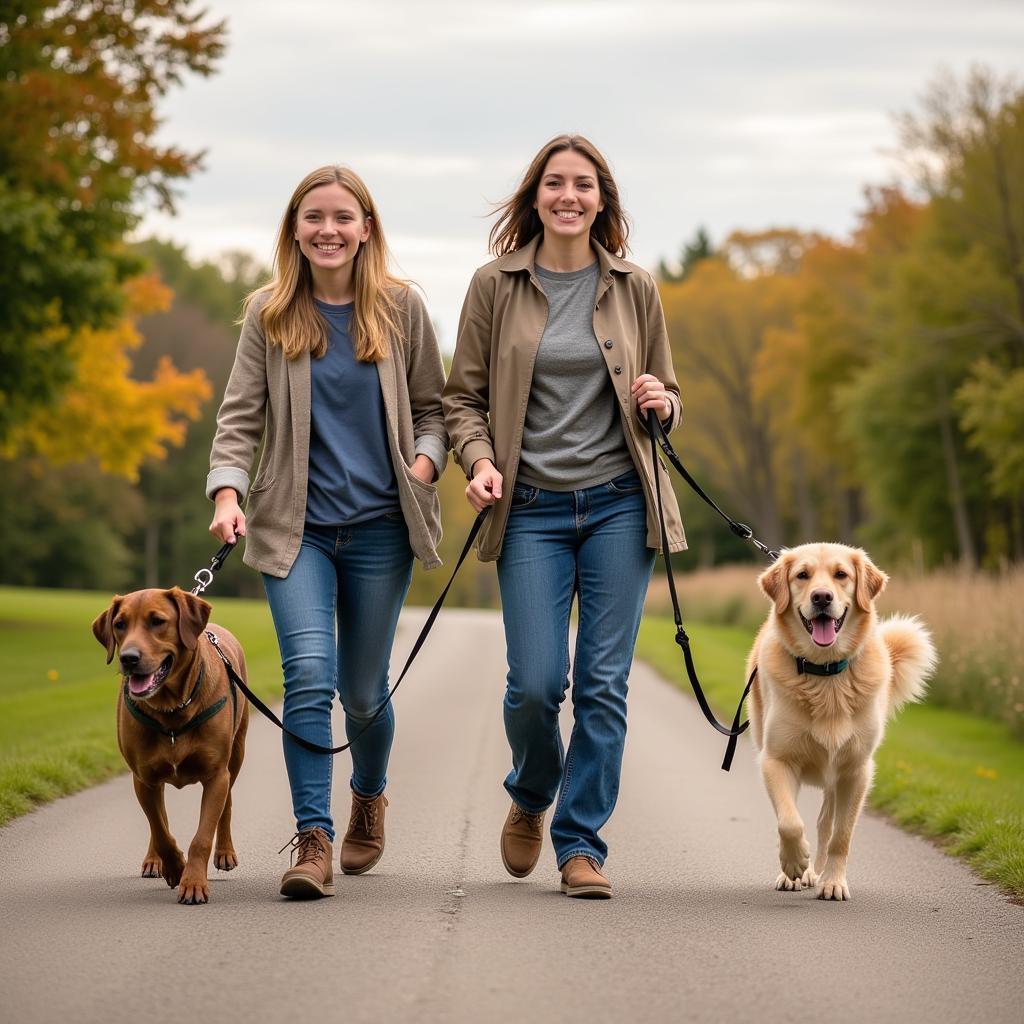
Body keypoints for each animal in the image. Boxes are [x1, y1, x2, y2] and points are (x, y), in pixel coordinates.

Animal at [93, 585, 249, 905]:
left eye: (157, 621)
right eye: (120, 624)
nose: (128, 658)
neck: (172, 708)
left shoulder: (216, 775)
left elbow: (202, 836)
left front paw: (193, 882)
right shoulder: (143, 776)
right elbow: (160, 828)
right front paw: (175, 866)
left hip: (237, 751)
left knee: (227, 803)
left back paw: (225, 851)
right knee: (158, 819)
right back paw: (155, 861)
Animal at [745, 540, 937, 901]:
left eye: (841, 575)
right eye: (802, 575)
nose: (822, 597)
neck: (825, 673)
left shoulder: (855, 770)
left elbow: (841, 835)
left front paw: (832, 881)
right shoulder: (776, 760)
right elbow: (789, 821)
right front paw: (795, 865)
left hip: (834, 781)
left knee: (825, 824)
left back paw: (818, 872)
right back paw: (798, 872)